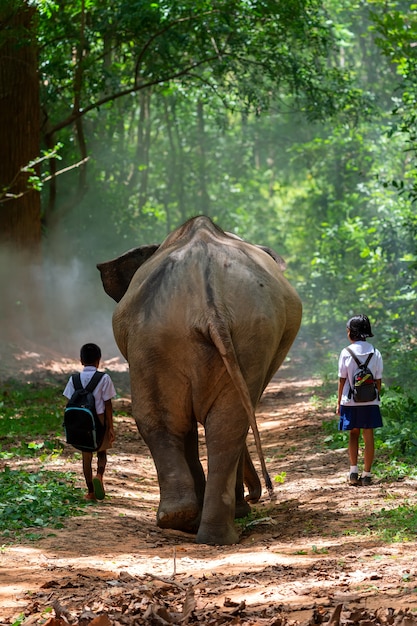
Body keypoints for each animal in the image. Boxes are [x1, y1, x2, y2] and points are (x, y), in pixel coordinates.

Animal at [98, 213, 300, 540]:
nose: (257, 495)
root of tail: (210, 300)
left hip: (173, 336)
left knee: (187, 422)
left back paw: (194, 523)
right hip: (184, 335)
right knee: (216, 423)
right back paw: (202, 526)